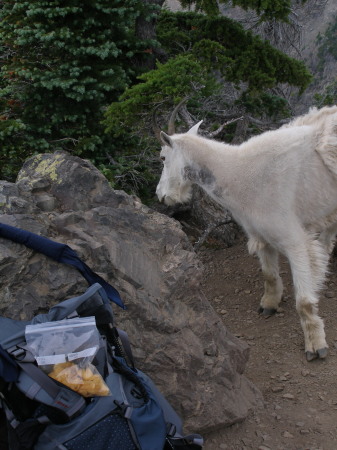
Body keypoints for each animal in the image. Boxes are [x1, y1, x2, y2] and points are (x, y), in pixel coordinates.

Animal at [156, 105, 337, 362]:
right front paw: (268, 306)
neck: (239, 174)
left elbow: (303, 302)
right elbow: (269, 275)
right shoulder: (261, 236)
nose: (161, 195)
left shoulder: (294, 241)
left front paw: (315, 346)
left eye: (162, 157)